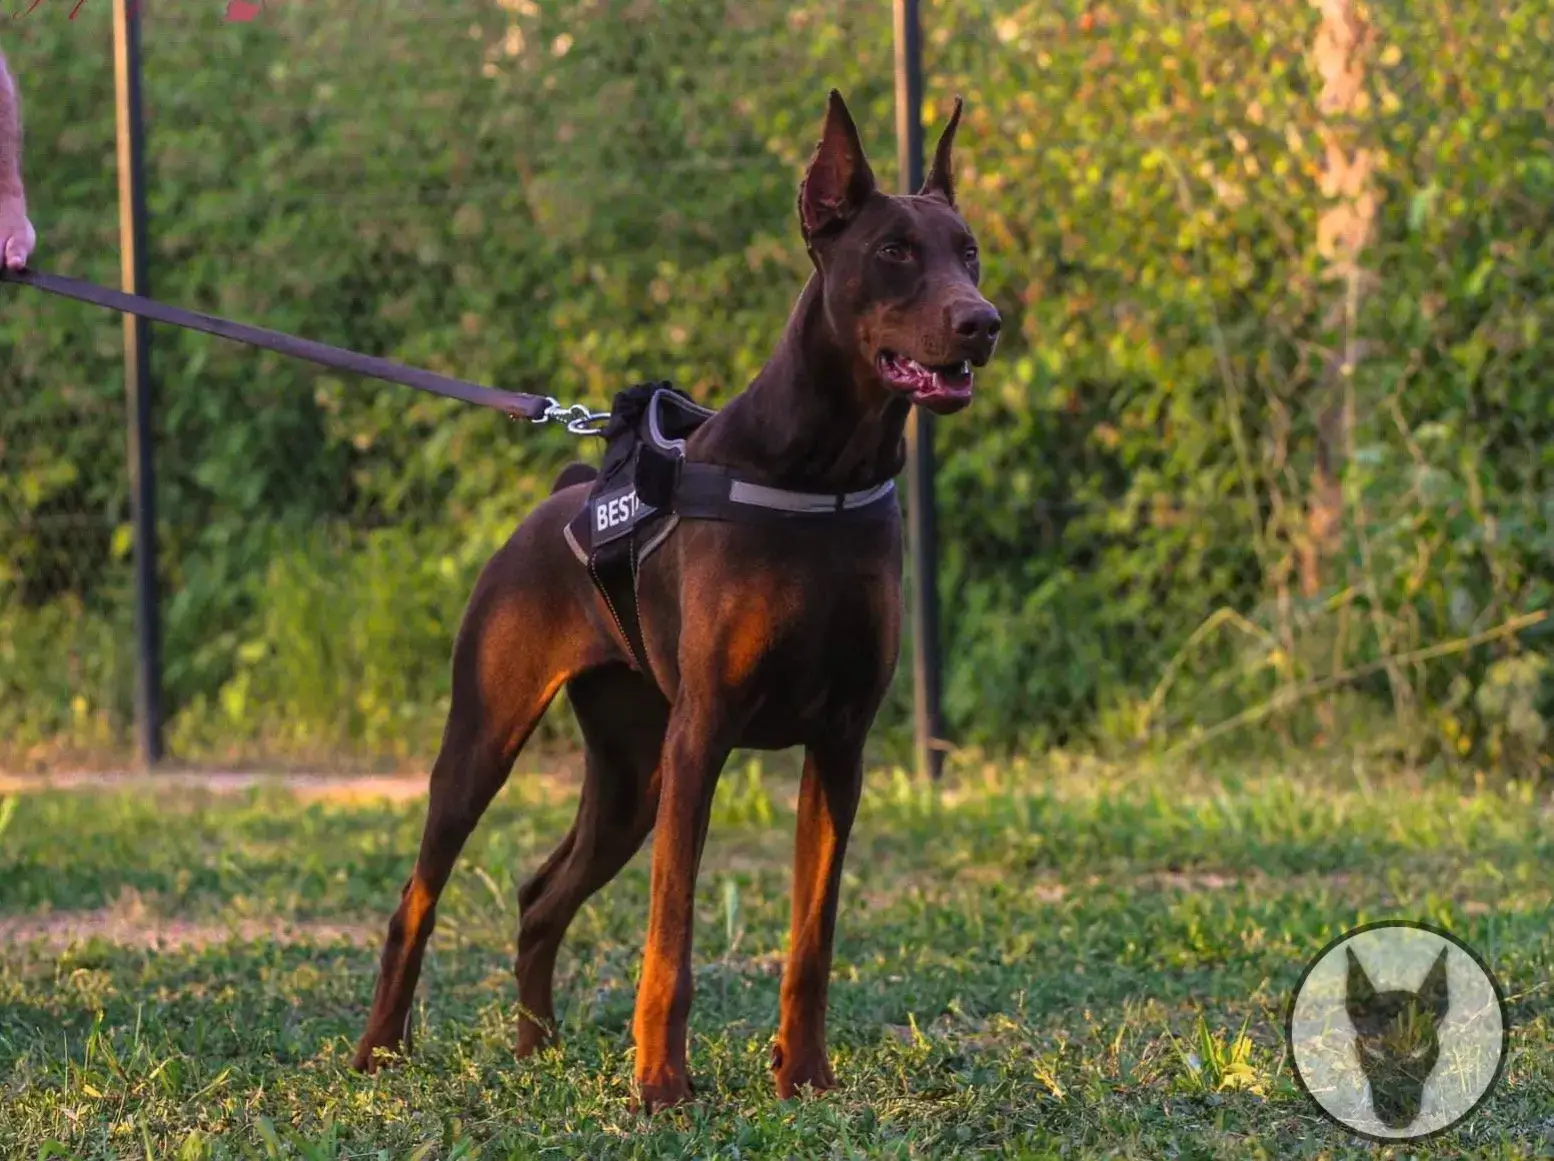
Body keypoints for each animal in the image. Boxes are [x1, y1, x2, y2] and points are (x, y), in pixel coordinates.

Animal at [354, 88, 1000, 1106]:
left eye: (967, 250)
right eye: (895, 251)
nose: (985, 320)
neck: (824, 473)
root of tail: (560, 493)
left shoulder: (841, 743)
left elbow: (811, 938)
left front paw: (804, 1074)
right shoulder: (704, 735)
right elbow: (672, 935)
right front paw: (660, 1082)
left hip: (631, 770)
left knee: (539, 898)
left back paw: (537, 1047)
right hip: (492, 737)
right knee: (416, 899)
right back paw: (380, 1051)